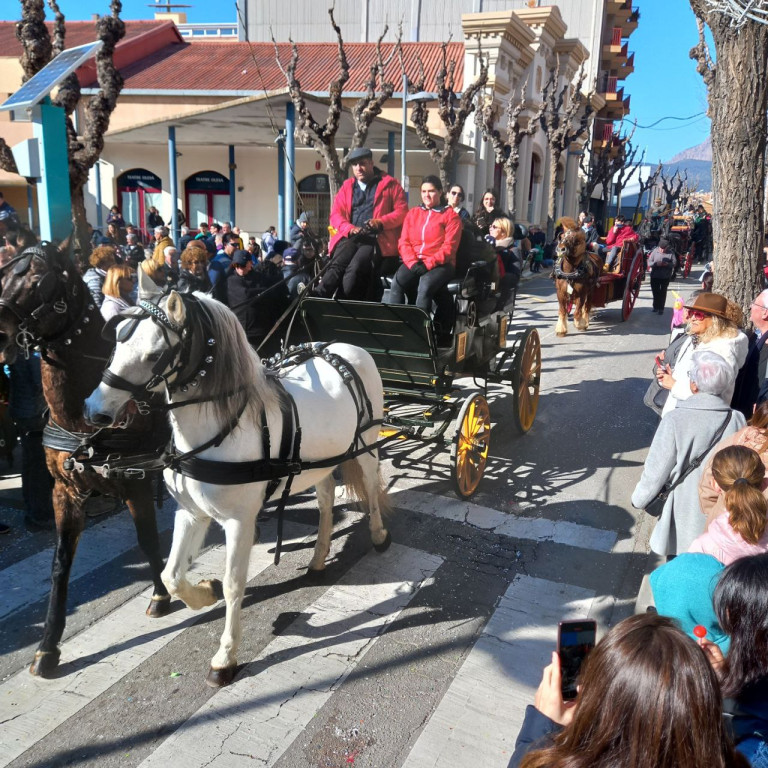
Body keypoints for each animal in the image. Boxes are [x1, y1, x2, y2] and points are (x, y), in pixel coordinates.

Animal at [0, 244, 170, 680]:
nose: (1, 331)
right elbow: (60, 566)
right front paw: (47, 646)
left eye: (40, 280)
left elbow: (148, 540)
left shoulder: (136, 481)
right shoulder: (65, 490)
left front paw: (161, 594)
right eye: (3, 273)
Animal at [84, 272, 390, 688]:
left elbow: (234, 584)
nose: (94, 411)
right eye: (117, 340)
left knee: (372, 488)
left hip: (367, 444)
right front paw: (204, 593)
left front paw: (225, 657)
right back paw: (319, 555)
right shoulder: (192, 513)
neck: (219, 429)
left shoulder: (239, 521)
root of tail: (343, 346)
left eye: (152, 355)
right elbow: (172, 575)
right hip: (321, 462)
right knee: (327, 499)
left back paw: (378, 534)